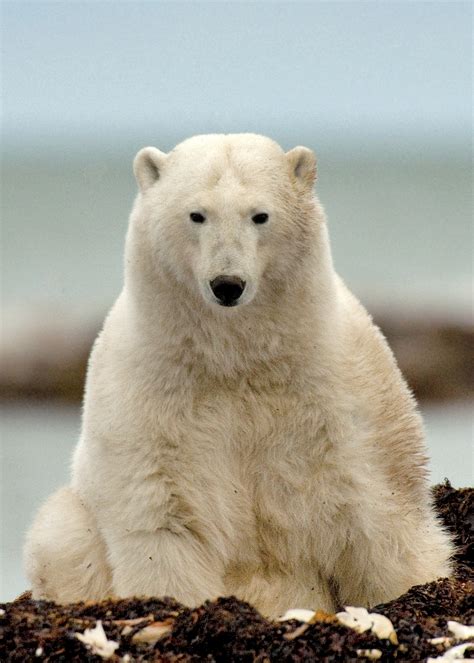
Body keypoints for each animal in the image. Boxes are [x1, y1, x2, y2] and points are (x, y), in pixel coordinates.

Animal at [24, 133, 453, 618]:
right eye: (197, 214)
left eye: (260, 215)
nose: (227, 284)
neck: (236, 357)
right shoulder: (148, 396)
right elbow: (163, 518)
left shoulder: (343, 384)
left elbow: (379, 505)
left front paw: (413, 591)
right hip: (73, 522)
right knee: (61, 535)